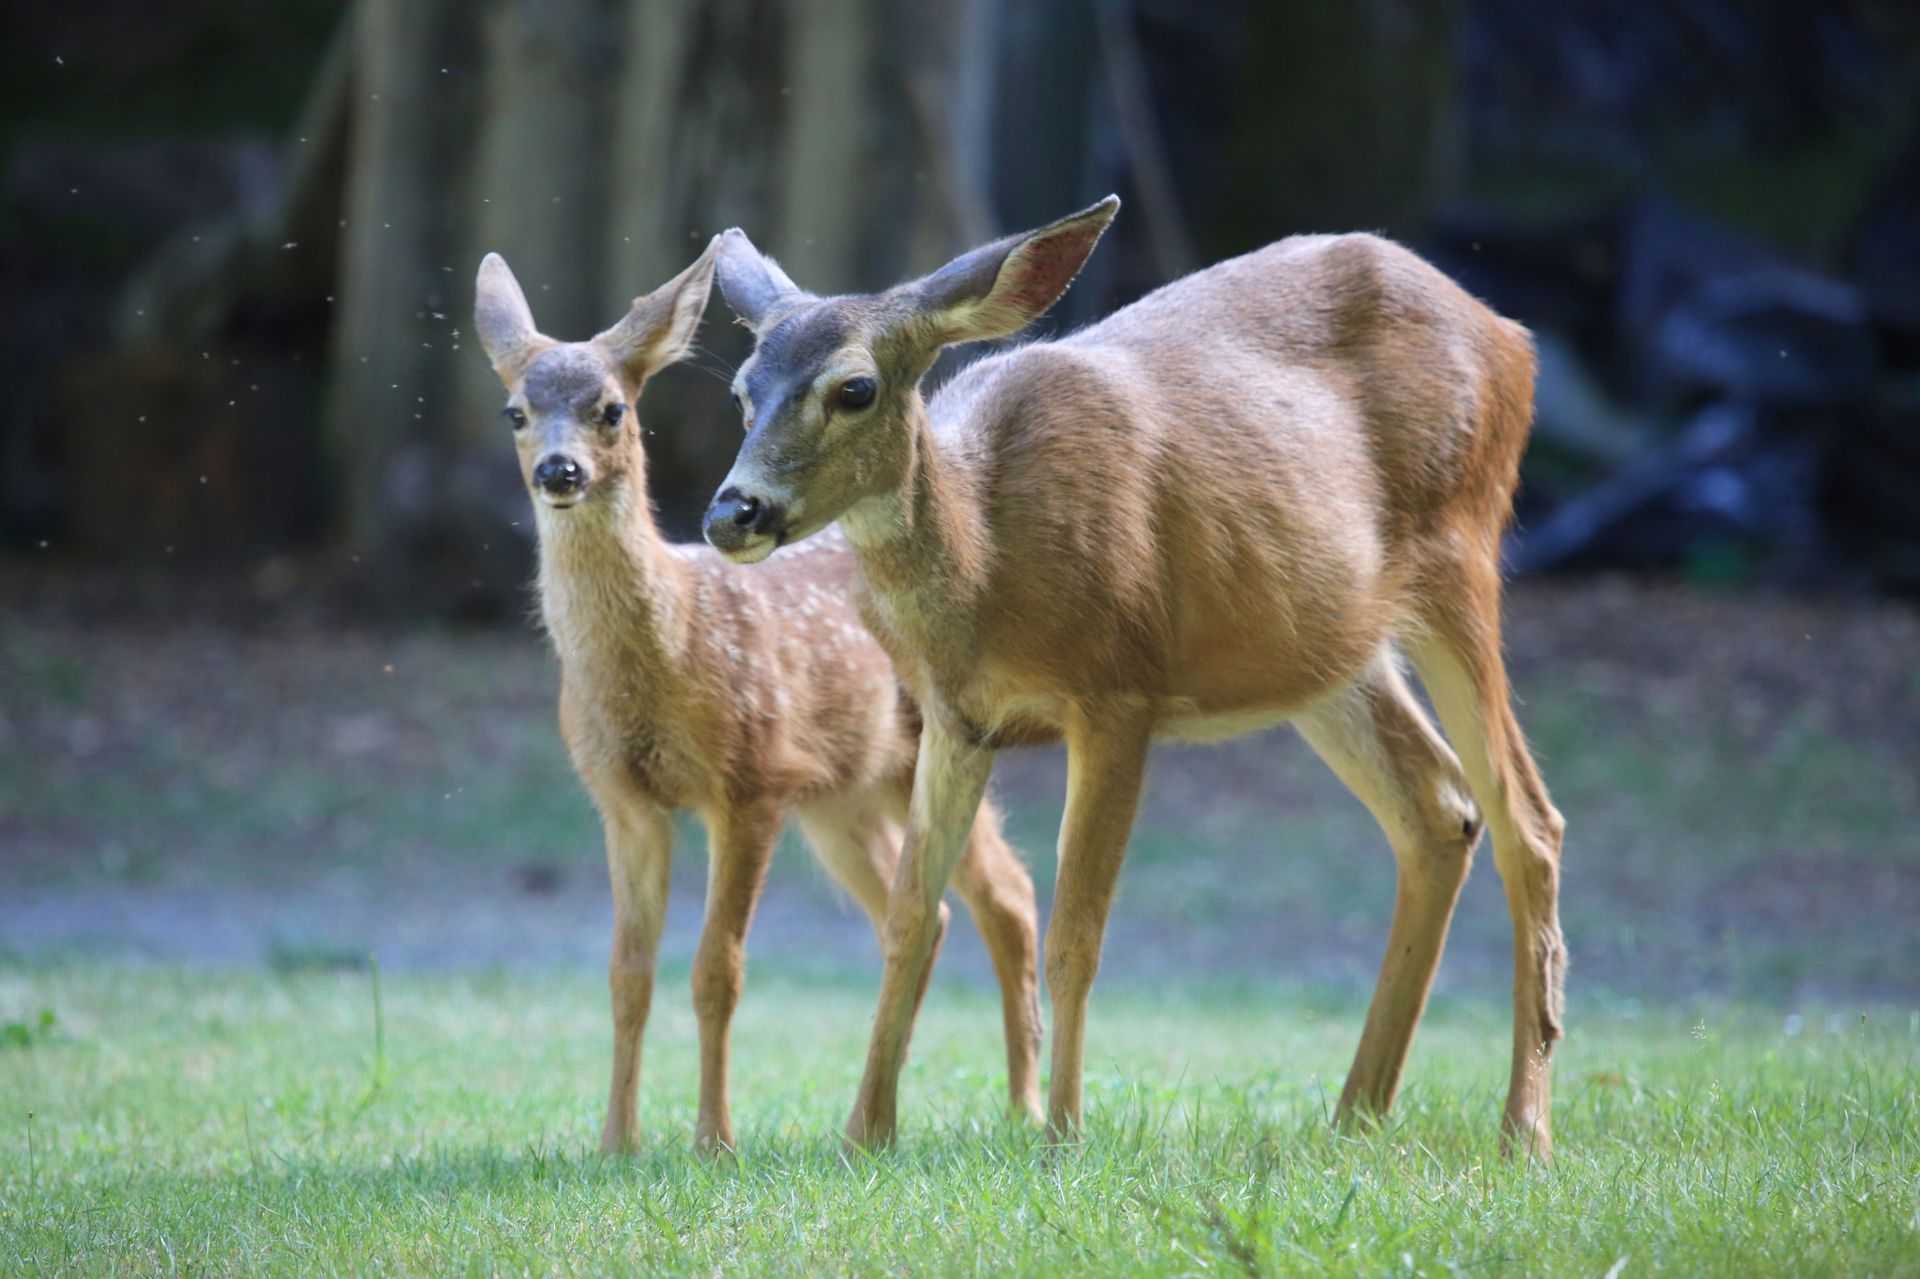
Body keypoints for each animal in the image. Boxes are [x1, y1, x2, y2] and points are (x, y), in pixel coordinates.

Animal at [471, 242, 1044, 1155]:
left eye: (610, 410)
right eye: (515, 412)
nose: (560, 471)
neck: (669, 650)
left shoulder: (752, 781)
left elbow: (718, 968)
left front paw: (714, 1140)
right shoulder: (624, 799)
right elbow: (627, 972)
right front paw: (617, 1141)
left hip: (927, 749)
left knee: (1009, 897)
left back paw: (1023, 1105)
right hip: (843, 797)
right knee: (928, 912)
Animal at [700, 198, 1568, 1160]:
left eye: (854, 388)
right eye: (742, 389)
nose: (734, 511)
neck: (985, 558)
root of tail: (1514, 339)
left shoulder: (1118, 691)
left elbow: (1076, 932)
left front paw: (1062, 1136)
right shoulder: (955, 717)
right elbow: (908, 915)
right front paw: (865, 1133)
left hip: (1463, 551)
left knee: (1530, 820)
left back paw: (1524, 1129)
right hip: (1325, 651)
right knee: (1438, 807)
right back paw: (1356, 1113)